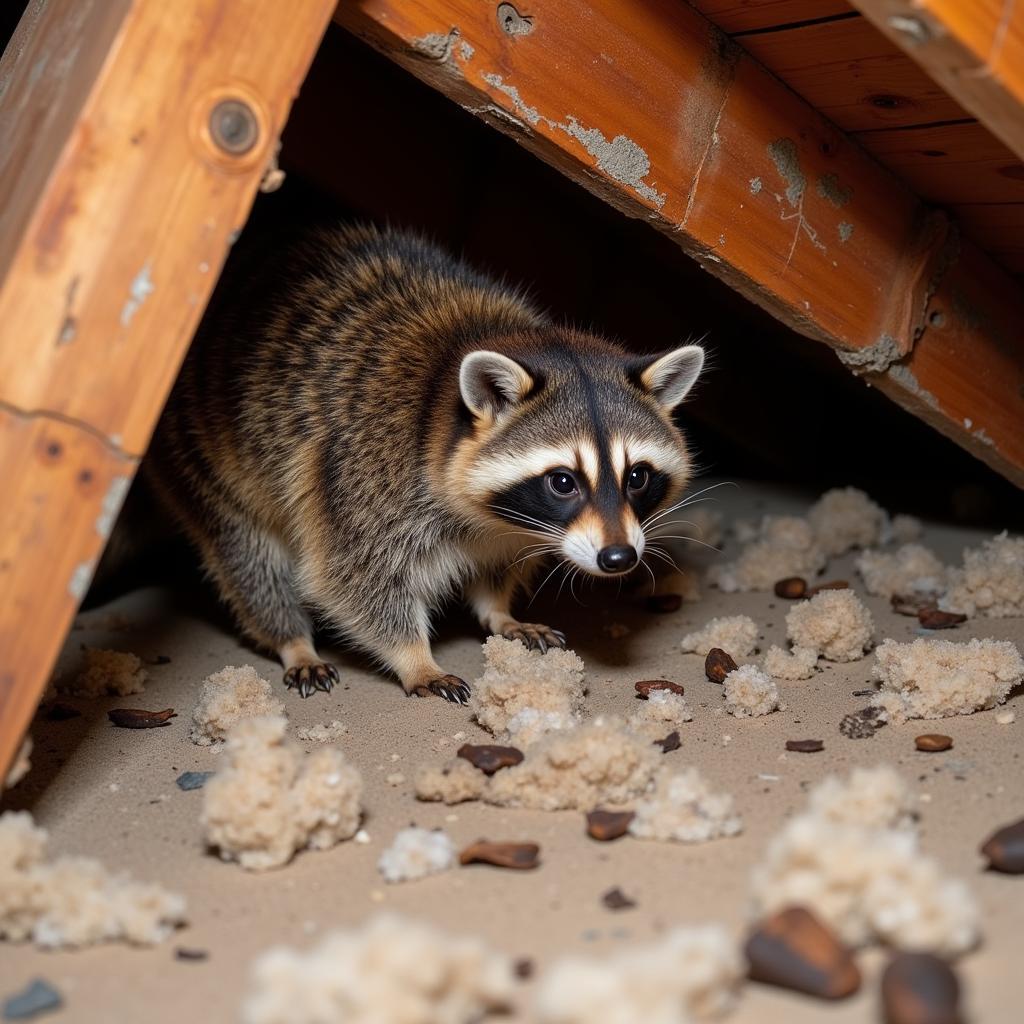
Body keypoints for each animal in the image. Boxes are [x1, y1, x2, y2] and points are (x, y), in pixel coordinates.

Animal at [146, 224, 704, 704]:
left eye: (637, 477)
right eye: (563, 482)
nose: (619, 558)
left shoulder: (512, 528)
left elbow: (498, 564)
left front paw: (499, 611)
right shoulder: (365, 471)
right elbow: (351, 576)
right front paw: (415, 657)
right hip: (199, 457)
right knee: (247, 552)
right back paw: (291, 638)